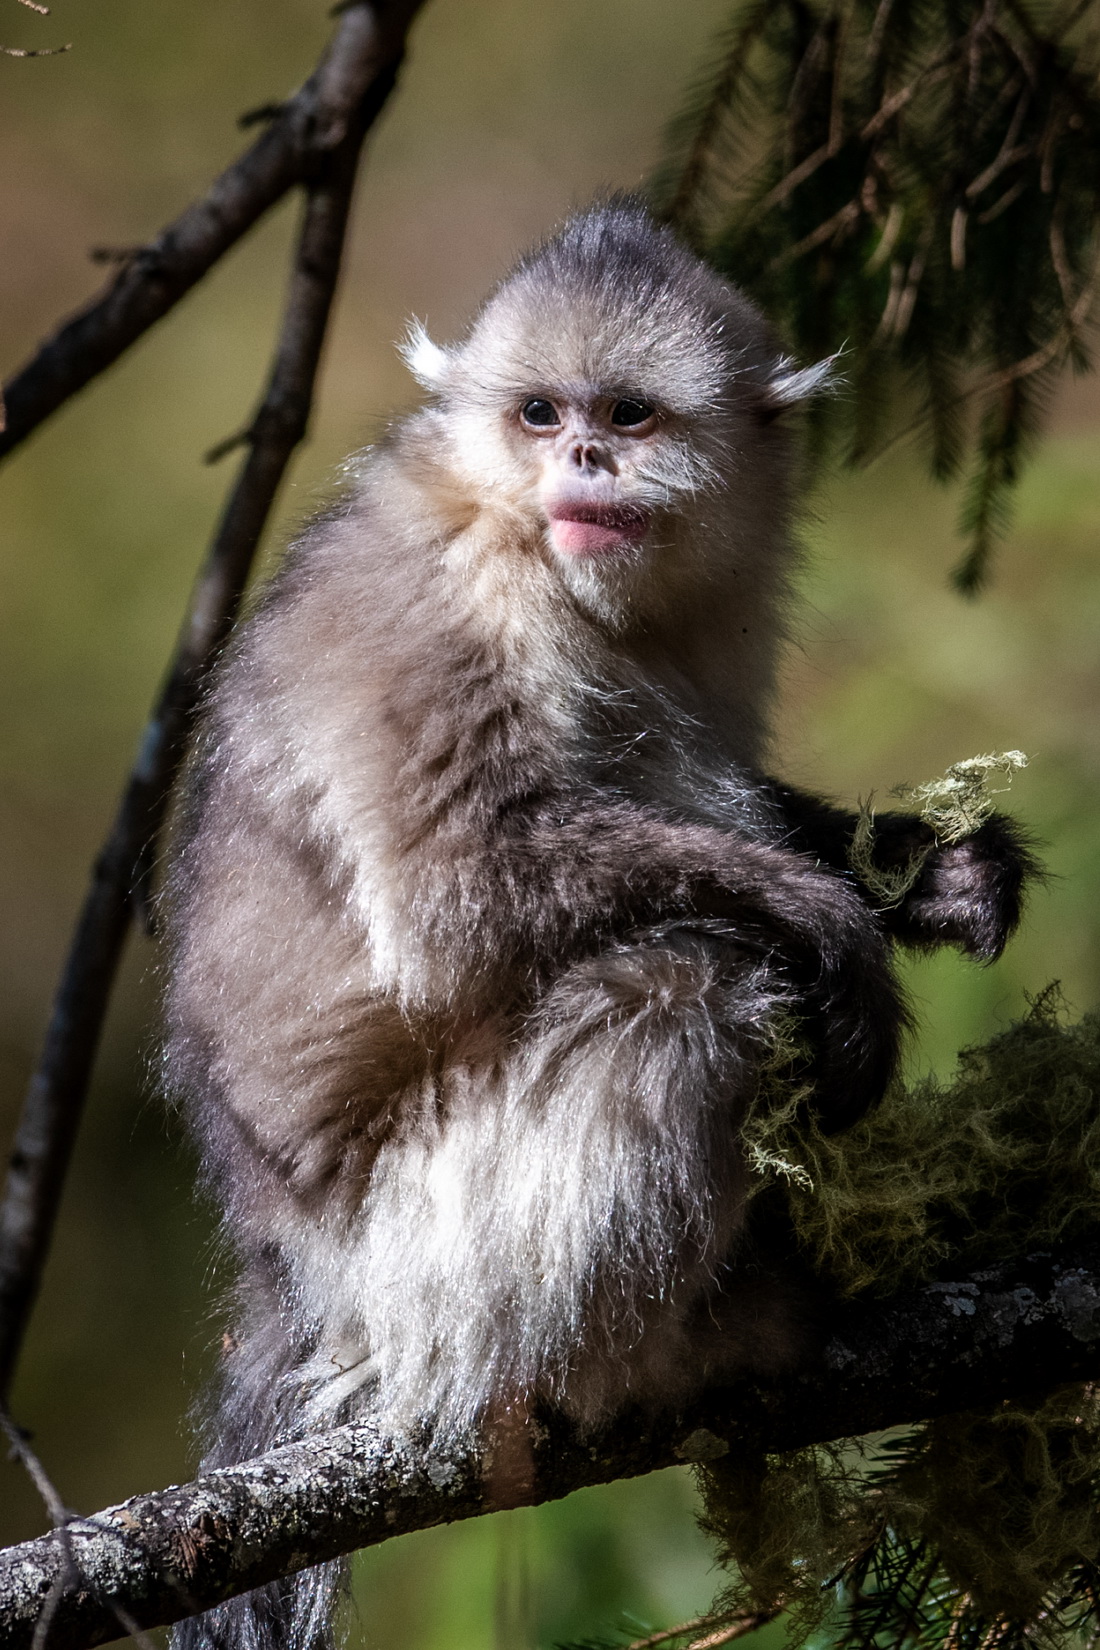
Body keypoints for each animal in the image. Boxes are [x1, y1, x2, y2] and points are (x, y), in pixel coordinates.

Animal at [164, 200, 1036, 1650]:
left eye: (626, 414)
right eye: (538, 414)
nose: (580, 456)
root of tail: (289, 1269)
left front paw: (930, 873)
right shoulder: (456, 605)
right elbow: (459, 890)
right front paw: (837, 927)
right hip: (434, 1251)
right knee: (690, 982)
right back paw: (666, 1346)